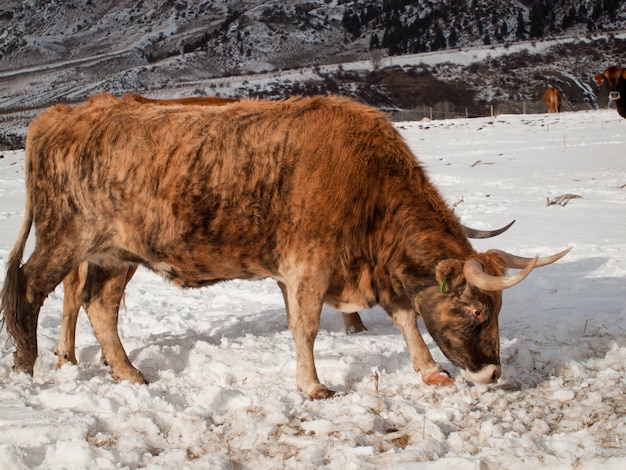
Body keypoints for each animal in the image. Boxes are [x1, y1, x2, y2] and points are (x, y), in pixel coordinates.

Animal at [0, 92, 568, 400]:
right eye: (476, 311)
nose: (492, 373)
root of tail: (59, 116)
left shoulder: (377, 271)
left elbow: (407, 317)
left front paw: (430, 371)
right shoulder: (307, 268)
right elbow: (306, 327)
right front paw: (313, 386)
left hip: (116, 256)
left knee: (99, 304)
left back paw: (128, 372)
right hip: (65, 238)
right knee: (29, 289)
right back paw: (28, 365)